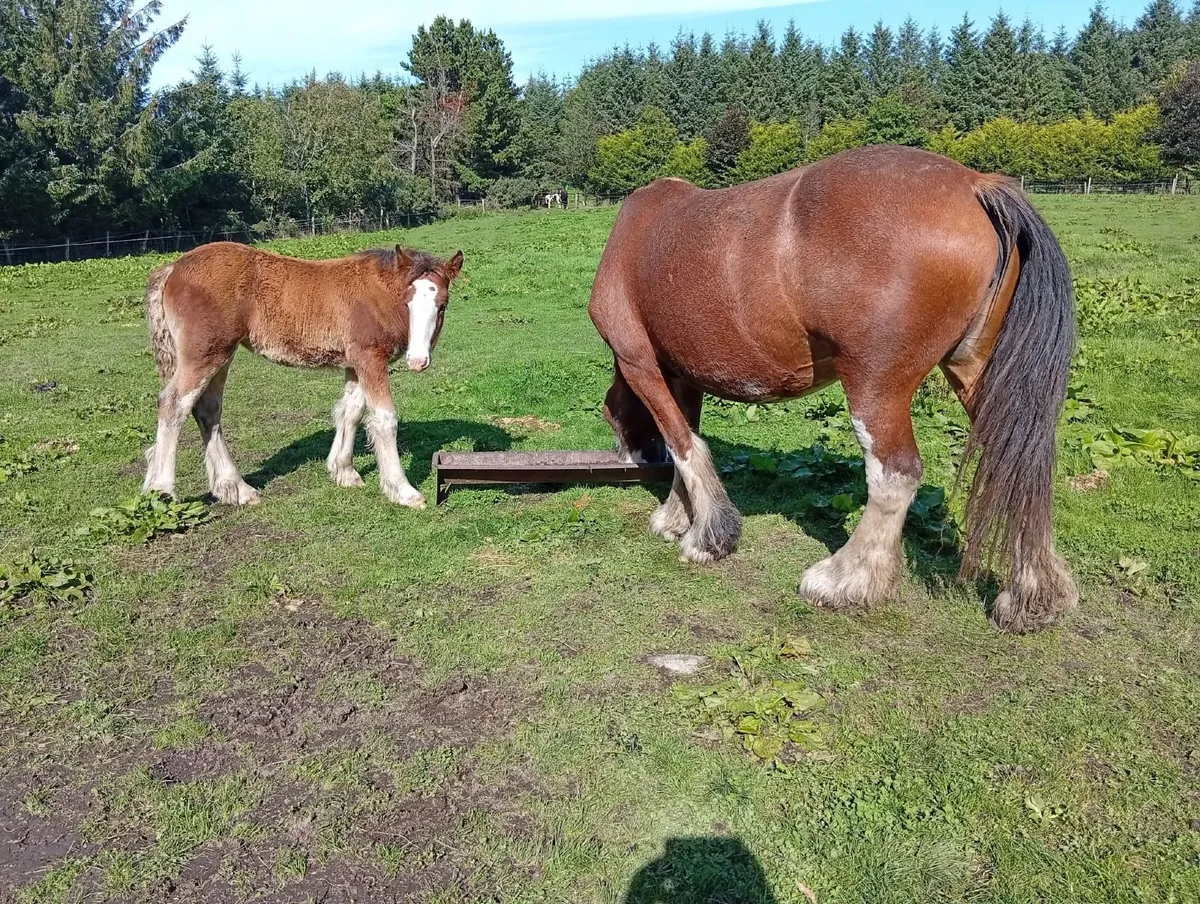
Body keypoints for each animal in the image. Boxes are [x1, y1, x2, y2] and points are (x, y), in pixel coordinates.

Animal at [142, 242, 464, 508]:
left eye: (442, 305)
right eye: (407, 302)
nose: (417, 360)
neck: (377, 296)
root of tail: (173, 268)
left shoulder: (356, 363)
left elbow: (350, 411)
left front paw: (343, 471)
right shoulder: (370, 358)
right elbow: (385, 420)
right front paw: (404, 491)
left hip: (221, 355)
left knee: (208, 411)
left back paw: (236, 489)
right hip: (203, 356)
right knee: (174, 405)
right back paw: (162, 491)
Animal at [588, 145, 1077, 634]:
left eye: (611, 416)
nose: (624, 455)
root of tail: (974, 184)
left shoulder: (640, 365)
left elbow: (682, 445)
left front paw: (708, 537)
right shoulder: (682, 377)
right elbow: (685, 444)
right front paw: (680, 517)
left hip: (875, 387)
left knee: (895, 474)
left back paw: (847, 579)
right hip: (975, 373)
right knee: (1018, 463)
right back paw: (1035, 595)